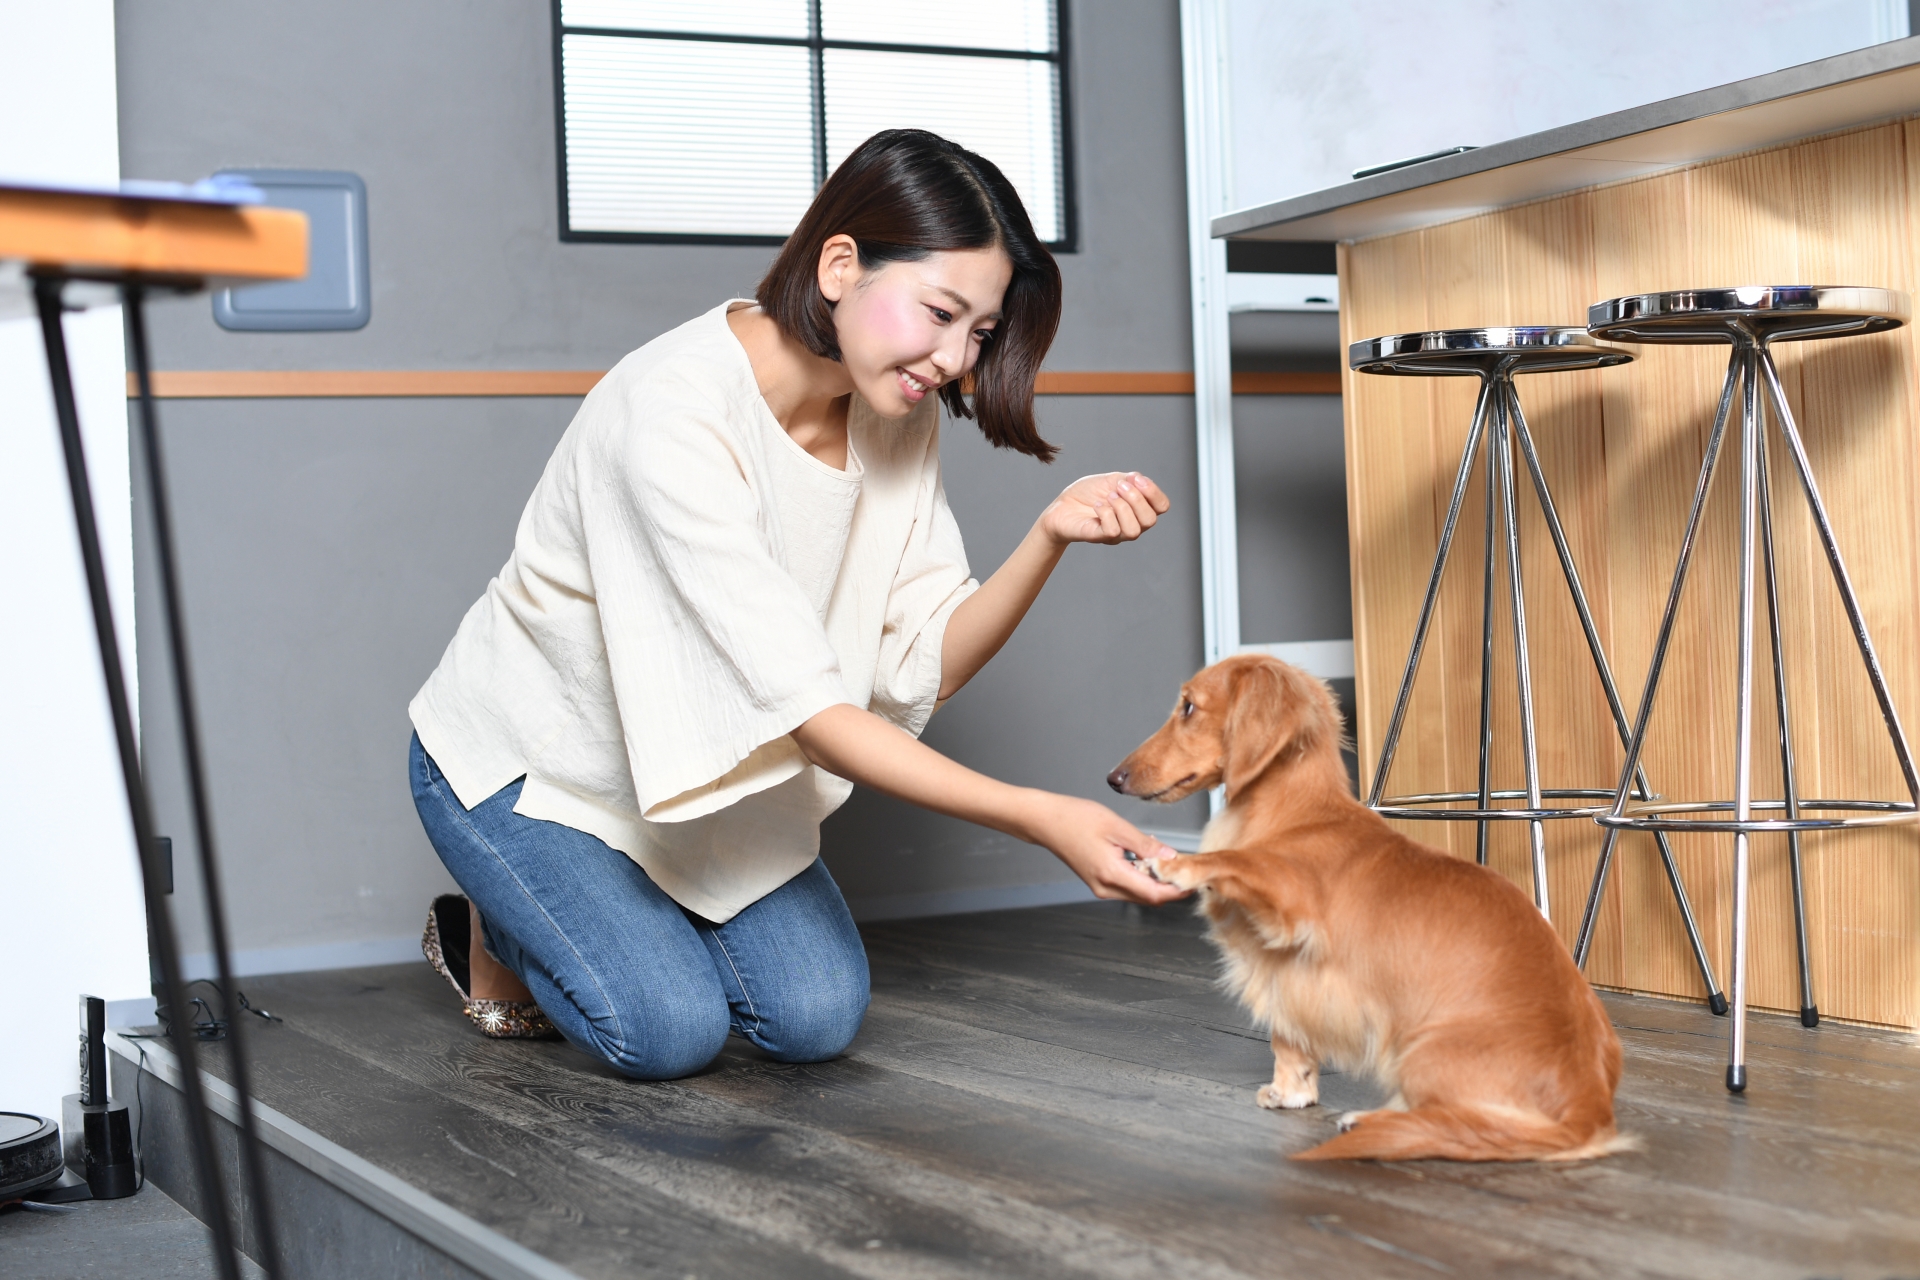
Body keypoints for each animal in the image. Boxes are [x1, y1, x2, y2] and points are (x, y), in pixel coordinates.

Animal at [1113, 656, 1620, 1166]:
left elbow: (1234, 860)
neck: (1291, 816)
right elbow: (1287, 1039)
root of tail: (1589, 1103)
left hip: (1421, 1048)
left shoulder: (1293, 902)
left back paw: (1375, 1121)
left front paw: (1176, 864)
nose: (1113, 778)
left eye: (1188, 707)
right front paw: (1290, 1090)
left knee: (1468, 1124)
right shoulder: (1287, 973)